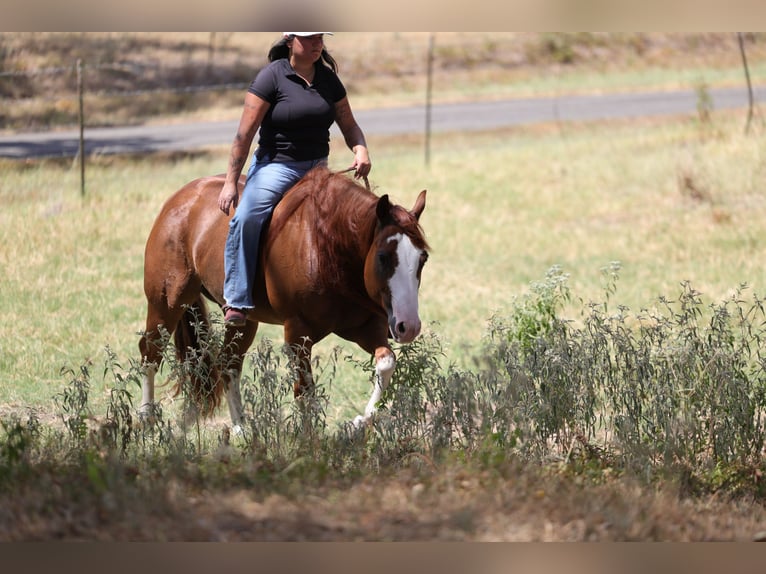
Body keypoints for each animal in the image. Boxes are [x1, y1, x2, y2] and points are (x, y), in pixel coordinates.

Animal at [138, 166, 429, 430]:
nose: (409, 326)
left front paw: (358, 422)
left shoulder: (364, 328)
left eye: (422, 258)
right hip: (166, 303)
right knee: (150, 352)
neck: (327, 249)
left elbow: (386, 362)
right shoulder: (298, 335)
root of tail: (180, 199)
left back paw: (241, 428)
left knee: (228, 361)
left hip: (242, 319)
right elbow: (305, 390)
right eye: (383, 257)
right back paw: (146, 420)